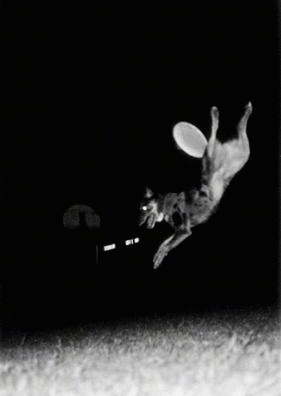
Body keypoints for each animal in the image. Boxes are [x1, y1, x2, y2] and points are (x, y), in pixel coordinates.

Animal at [139, 102, 253, 270]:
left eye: (144, 209)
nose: (139, 223)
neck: (165, 204)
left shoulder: (184, 230)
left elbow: (167, 244)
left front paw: (162, 253)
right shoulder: (181, 230)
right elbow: (164, 243)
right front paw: (159, 255)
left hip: (209, 157)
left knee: (213, 134)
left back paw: (215, 114)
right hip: (244, 153)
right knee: (240, 128)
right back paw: (247, 111)